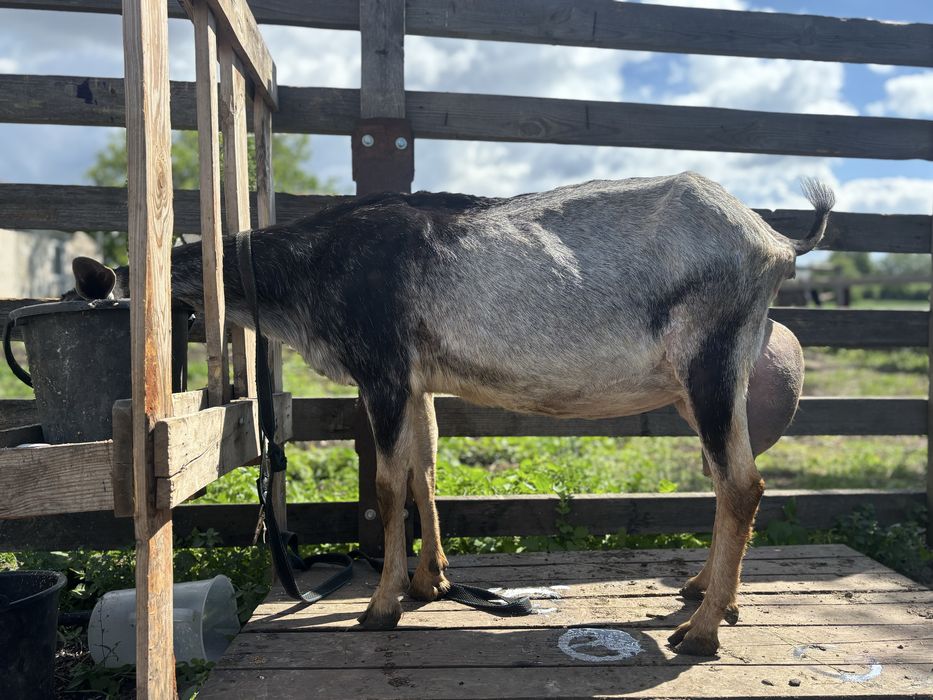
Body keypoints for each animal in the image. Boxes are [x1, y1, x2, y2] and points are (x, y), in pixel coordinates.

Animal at [72, 171, 833, 656]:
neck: (316, 265)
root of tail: (774, 243)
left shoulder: (381, 370)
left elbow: (385, 484)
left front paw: (380, 608)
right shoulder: (416, 381)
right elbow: (423, 472)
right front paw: (429, 582)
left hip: (710, 357)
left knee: (742, 484)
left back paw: (700, 631)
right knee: (727, 480)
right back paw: (710, 593)